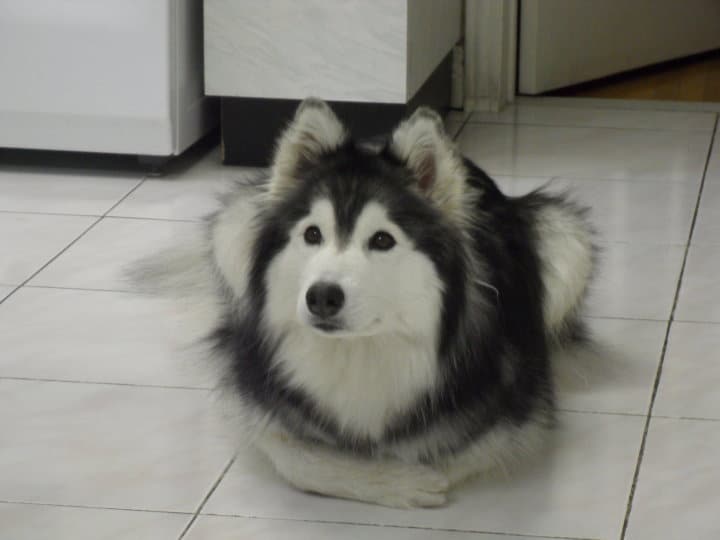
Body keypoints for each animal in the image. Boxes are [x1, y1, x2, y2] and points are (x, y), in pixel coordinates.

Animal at [131, 99, 596, 508]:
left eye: (382, 240)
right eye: (312, 234)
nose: (321, 296)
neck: (362, 348)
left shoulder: (521, 411)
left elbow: (447, 451)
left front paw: (408, 471)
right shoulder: (247, 390)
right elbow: (296, 457)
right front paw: (396, 483)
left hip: (564, 235)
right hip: (233, 226)